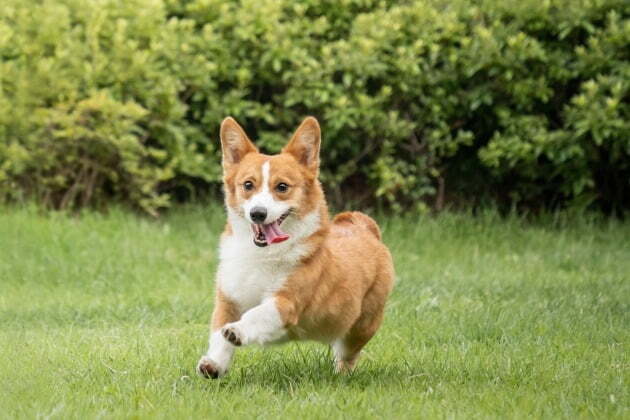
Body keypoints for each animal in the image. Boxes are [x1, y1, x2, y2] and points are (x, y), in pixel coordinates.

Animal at [198, 115, 396, 378]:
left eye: (282, 187)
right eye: (248, 185)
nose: (258, 213)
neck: (261, 255)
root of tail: (363, 225)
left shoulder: (285, 303)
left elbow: (255, 315)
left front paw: (237, 331)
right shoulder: (227, 300)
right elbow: (218, 336)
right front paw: (214, 364)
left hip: (361, 328)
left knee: (347, 355)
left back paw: (341, 376)